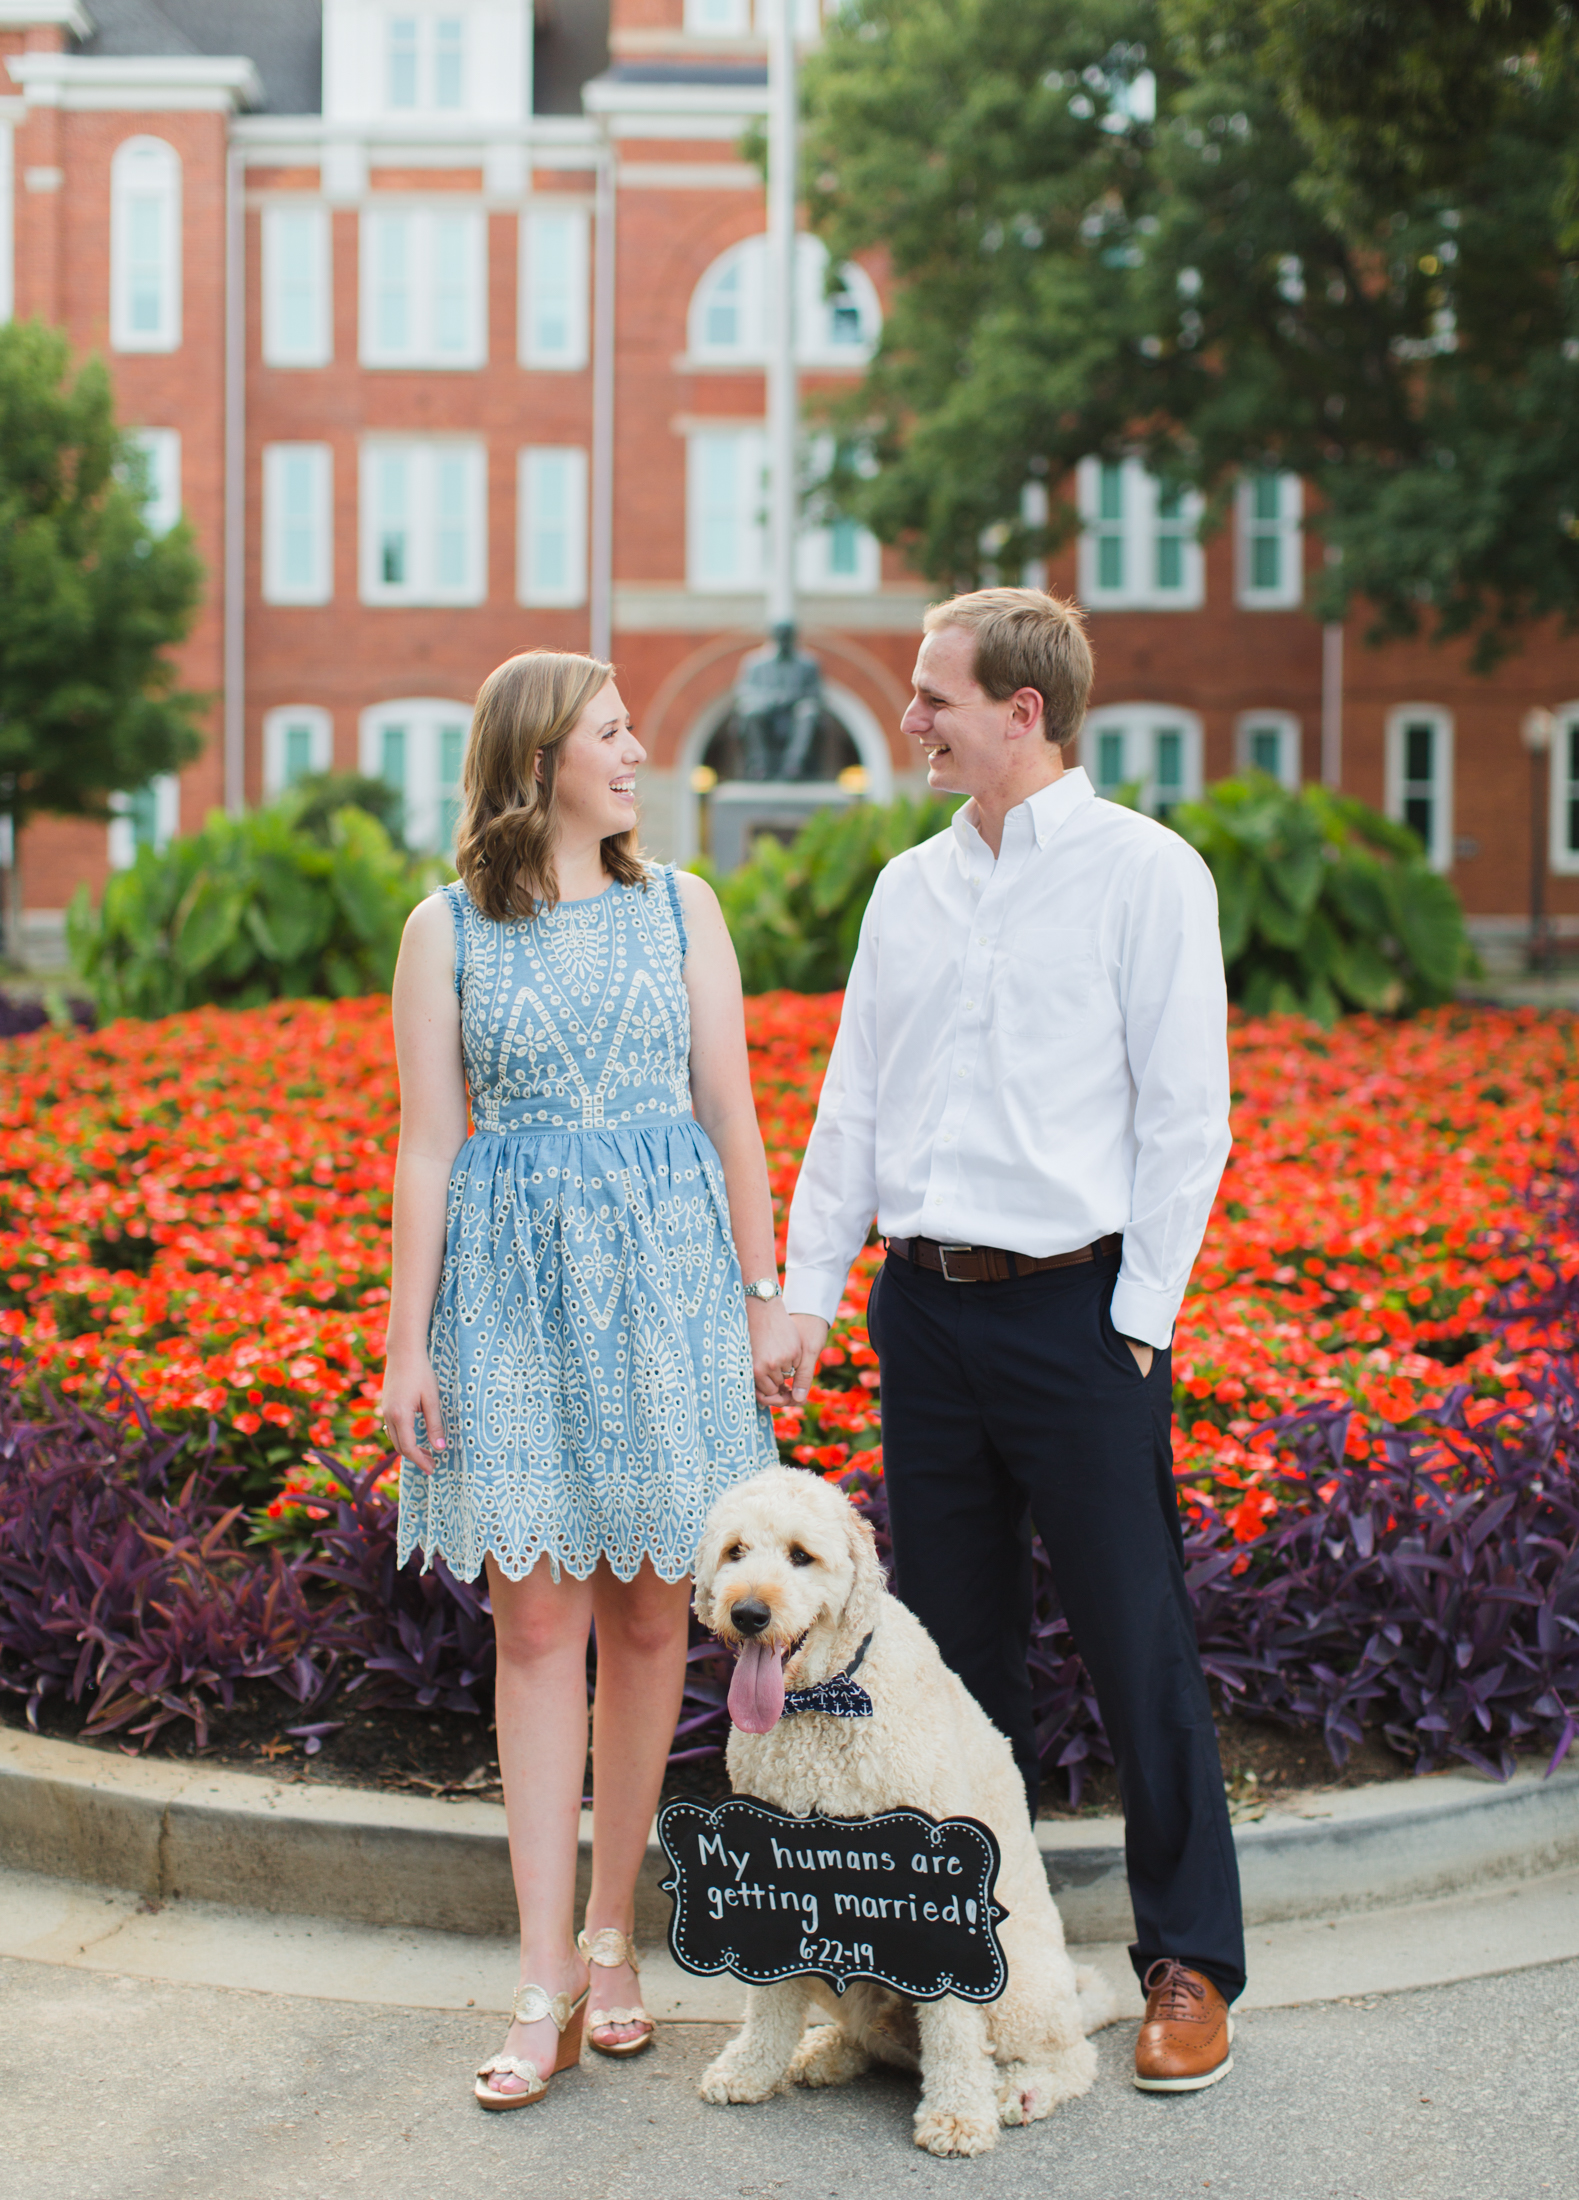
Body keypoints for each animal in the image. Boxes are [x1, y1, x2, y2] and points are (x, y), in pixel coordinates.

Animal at [694, 1460, 1125, 2147]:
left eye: (800, 1555)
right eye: (736, 1550)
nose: (749, 1612)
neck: (822, 1701)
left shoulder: (936, 1881)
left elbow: (953, 2021)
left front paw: (957, 2114)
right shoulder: (776, 1867)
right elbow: (770, 1994)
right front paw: (750, 2068)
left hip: (1018, 1984)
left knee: (1066, 2056)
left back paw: (1020, 2090)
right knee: (880, 2040)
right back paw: (828, 2052)